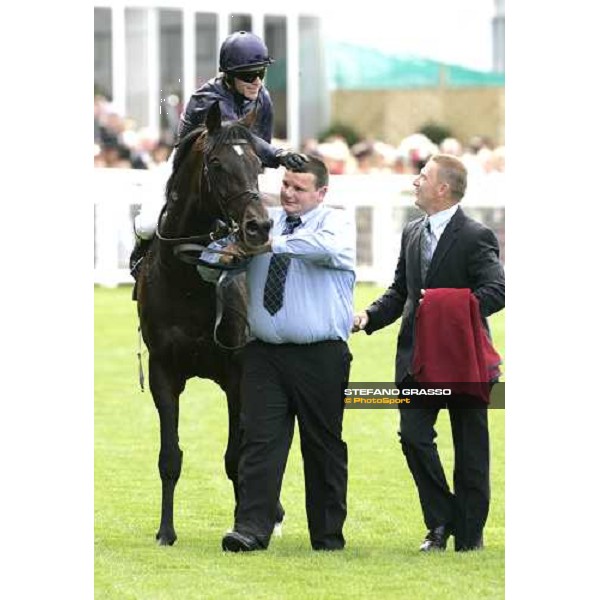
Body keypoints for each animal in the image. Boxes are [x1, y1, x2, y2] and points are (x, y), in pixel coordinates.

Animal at [135, 102, 276, 544]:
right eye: (216, 163)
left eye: (258, 164)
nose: (258, 227)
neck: (188, 282)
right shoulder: (164, 371)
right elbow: (169, 457)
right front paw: (165, 531)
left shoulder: (237, 373)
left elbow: (237, 458)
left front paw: (244, 526)